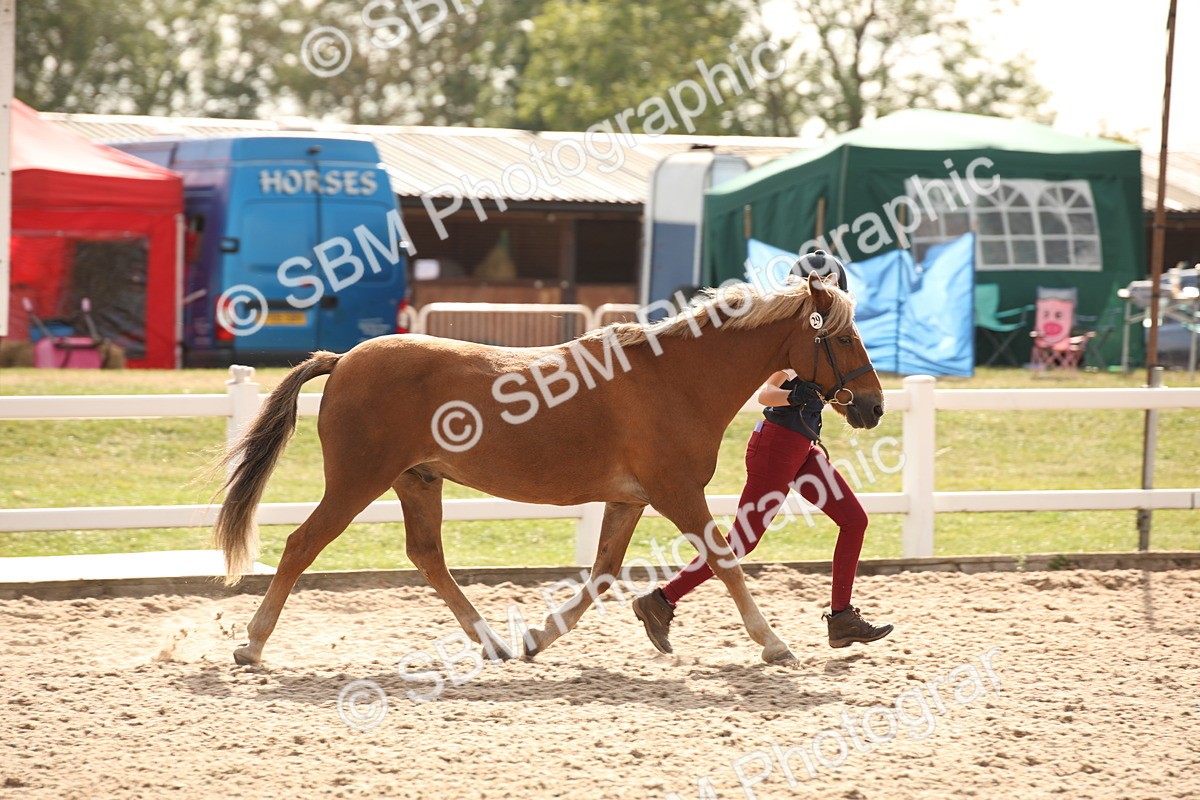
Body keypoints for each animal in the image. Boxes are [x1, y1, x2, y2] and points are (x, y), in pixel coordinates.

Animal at [214, 272, 883, 666]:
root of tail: (345, 358)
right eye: (845, 338)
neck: (675, 378)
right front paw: (773, 643)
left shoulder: (631, 498)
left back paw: (494, 643)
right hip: (358, 482)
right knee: (302, 545)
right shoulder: (676, 493)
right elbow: (725, 562)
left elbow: (603, 573)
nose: (873, 407)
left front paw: (541, 637)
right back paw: (252, 643)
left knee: (428, 557)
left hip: (418, 481)